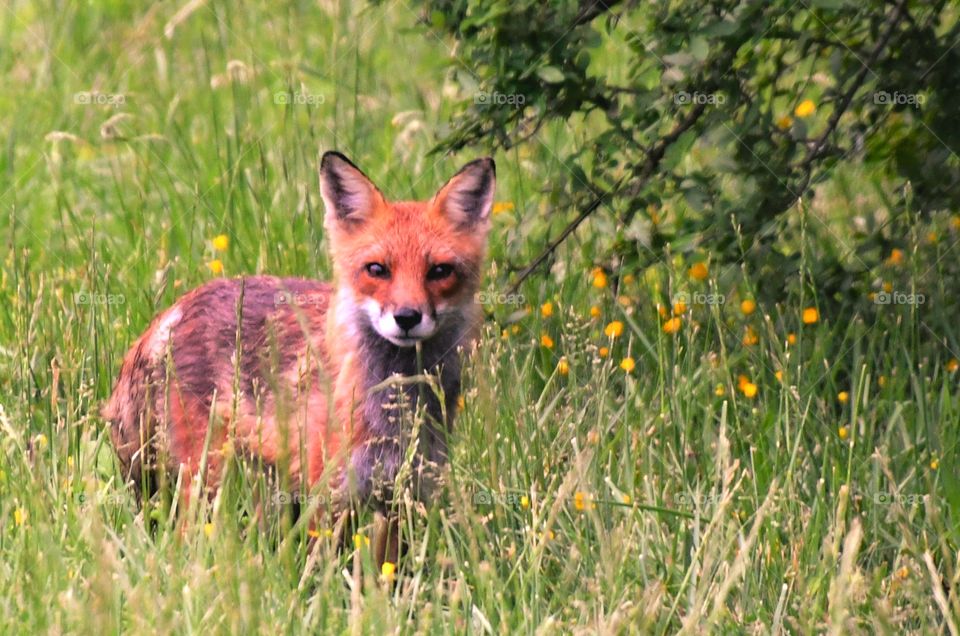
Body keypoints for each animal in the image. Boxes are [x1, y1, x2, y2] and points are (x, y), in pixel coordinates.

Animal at [102, 151, 495, 564]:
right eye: (377, 269)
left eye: (440, 271)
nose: (407, 317)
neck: (393, 404)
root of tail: (173, 312)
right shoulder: (327, 493)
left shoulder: (402, 493)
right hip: (207, 480)